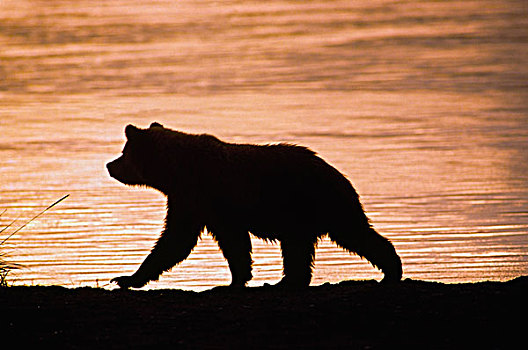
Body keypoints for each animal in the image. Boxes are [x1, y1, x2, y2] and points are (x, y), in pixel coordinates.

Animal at [109, 121, 402, 288]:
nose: (109, 165)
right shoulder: (206, 204)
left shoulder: (198, 194)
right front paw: (237, 278)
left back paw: (391, 270)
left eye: (123, 152)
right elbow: (228, 242)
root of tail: (337, 173)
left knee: (349, 233)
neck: (174, 171)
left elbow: (177, 239)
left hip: (306, 202)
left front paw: (126, 278)